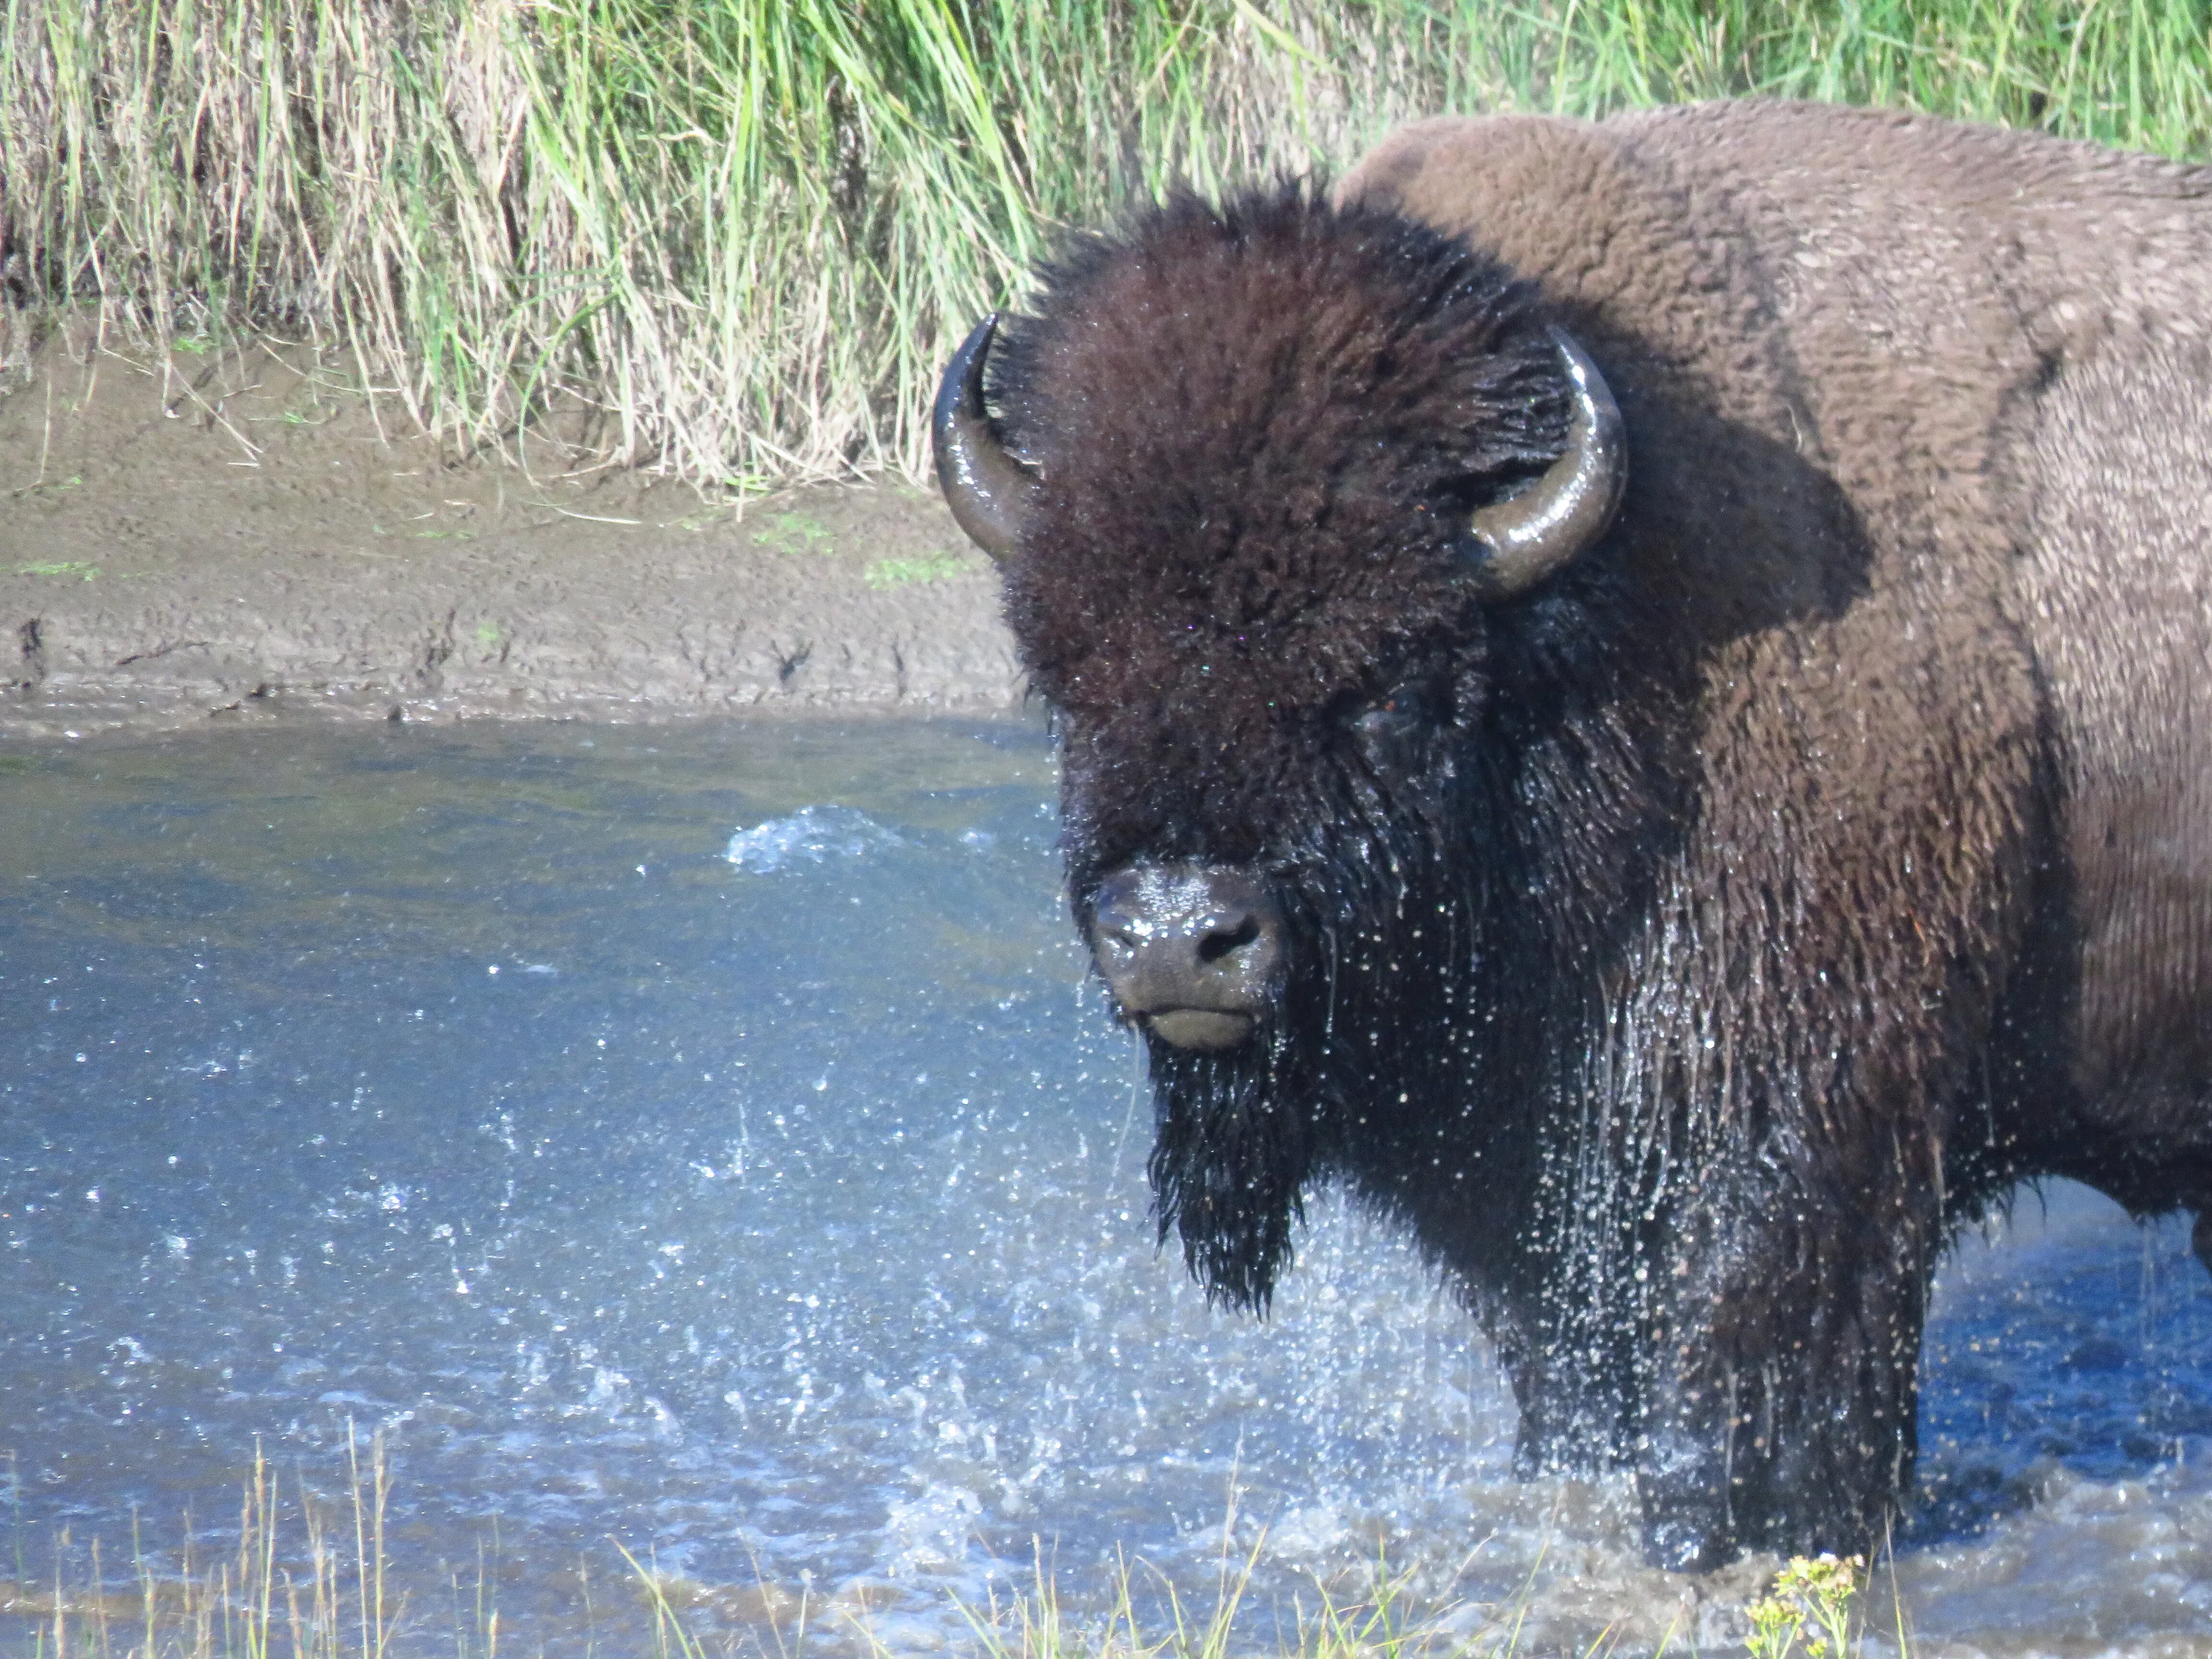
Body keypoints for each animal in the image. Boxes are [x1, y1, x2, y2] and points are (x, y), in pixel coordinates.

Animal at [930, 99, 2212, 1570]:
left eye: (1392, 679)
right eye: (1067, 676)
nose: (1176, 935)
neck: (1618, 620)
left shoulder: (1802, 1150)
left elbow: (1754, 1414)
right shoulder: (1529, 1196)